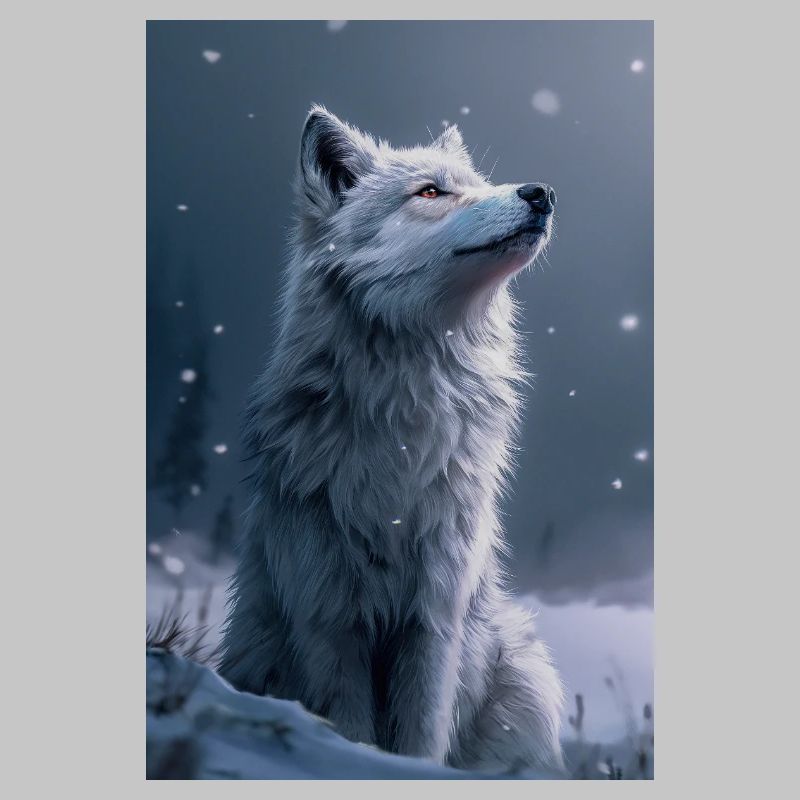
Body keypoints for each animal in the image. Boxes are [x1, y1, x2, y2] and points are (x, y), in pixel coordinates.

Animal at [220, 106, 564, 773]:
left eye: (479, 182)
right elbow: (349, 729)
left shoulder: (435, 619)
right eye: (430, 193)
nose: (541, 193)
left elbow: (422, 735)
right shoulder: (329, 621)